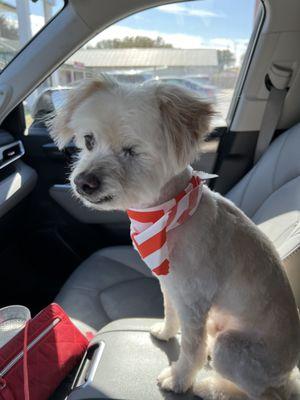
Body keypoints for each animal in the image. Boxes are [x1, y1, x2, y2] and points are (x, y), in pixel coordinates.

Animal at [50, 78, 298, 400]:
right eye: (89, 140)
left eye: (131, 150)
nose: (83, 183)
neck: (169, 214)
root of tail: (288, 374)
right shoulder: (170, 284)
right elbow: (170, 310)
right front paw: (166, 332)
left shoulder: (194, 299)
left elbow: (192, 349)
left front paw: (179, 380)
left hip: (234, 348)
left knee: (259, 392)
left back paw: (211, 387)